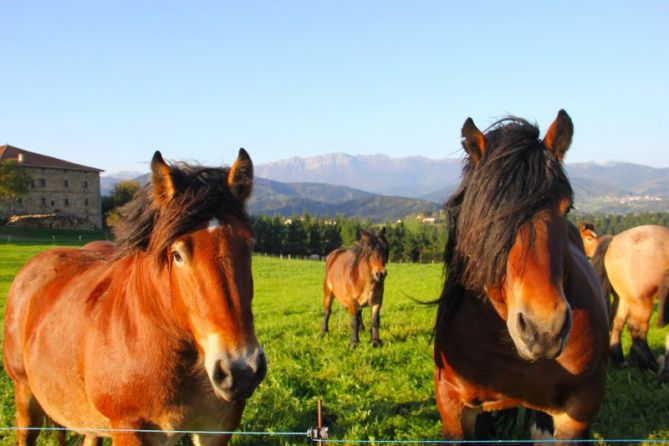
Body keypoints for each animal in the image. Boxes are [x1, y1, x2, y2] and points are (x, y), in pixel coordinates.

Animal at [5, 150, 268, 446]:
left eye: (249, 245)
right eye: (177, 254)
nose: (240, 370)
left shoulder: (216, 430)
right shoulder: (130, 430)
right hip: (24, 392)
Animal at [580, 223, 668, 372]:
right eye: (589, 238)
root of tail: (614, 240)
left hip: (624, 297)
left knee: (618, 322)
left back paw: (619, 359)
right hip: (640, 299)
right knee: (637, 328)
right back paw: (648, 363)